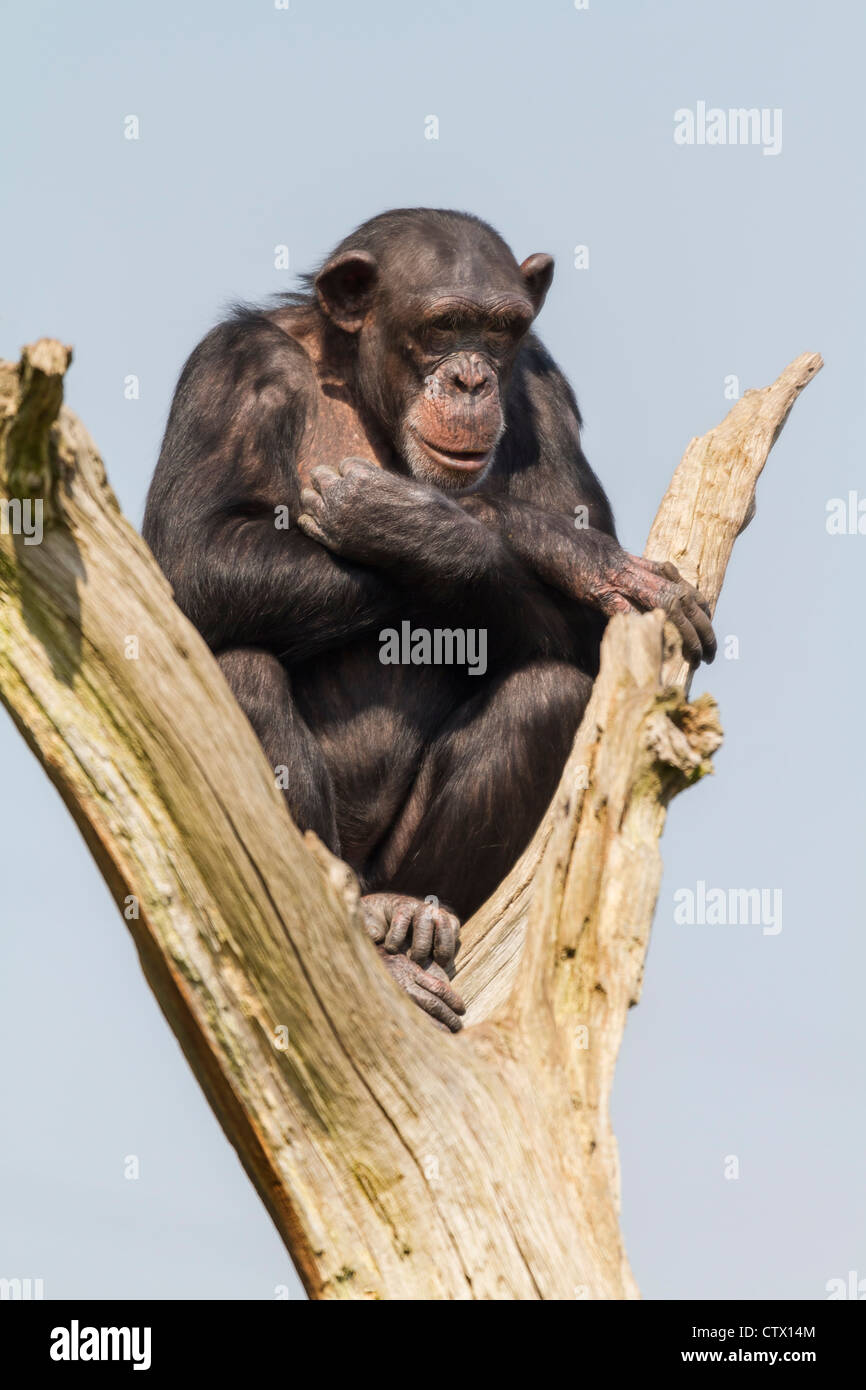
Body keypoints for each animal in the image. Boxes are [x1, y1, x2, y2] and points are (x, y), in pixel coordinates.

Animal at [143, 208, 711, 1034]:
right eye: (444, 325)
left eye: (501, 330)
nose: (472, 377)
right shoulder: (229, 370)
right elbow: (189, 557)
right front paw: (558, 547)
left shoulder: (542, 385)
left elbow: (605, 645)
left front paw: (436, 528)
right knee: (239, 669)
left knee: (548, 695)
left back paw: (413, 917)